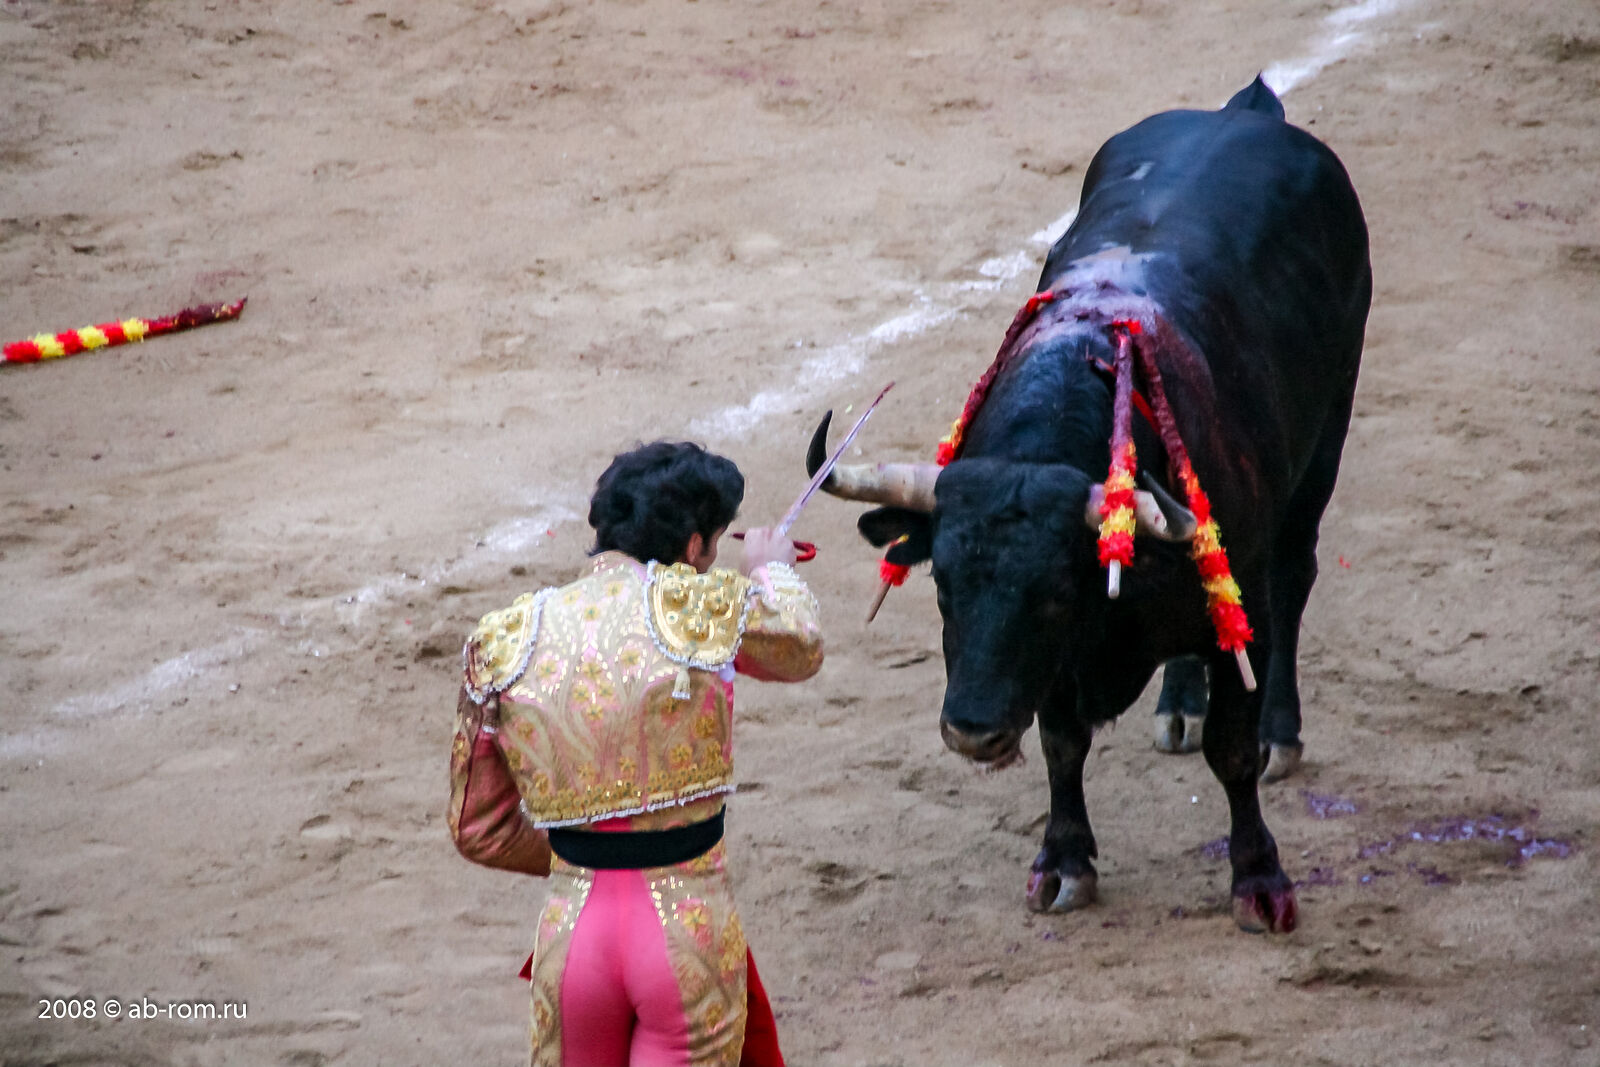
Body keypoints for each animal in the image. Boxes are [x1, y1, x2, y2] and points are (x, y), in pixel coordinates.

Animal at [806, 77, 1370, 933]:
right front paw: (1064, 859)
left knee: (1293, 576)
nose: (971, 731)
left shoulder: (1229, 591)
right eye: (941, 585)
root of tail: (1245, 114)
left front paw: (1259, 877)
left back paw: (1283, 733)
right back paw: (1179, 706)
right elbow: (1063, 743)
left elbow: (1232, 749)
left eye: (1053, 594)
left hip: (1329, 429)